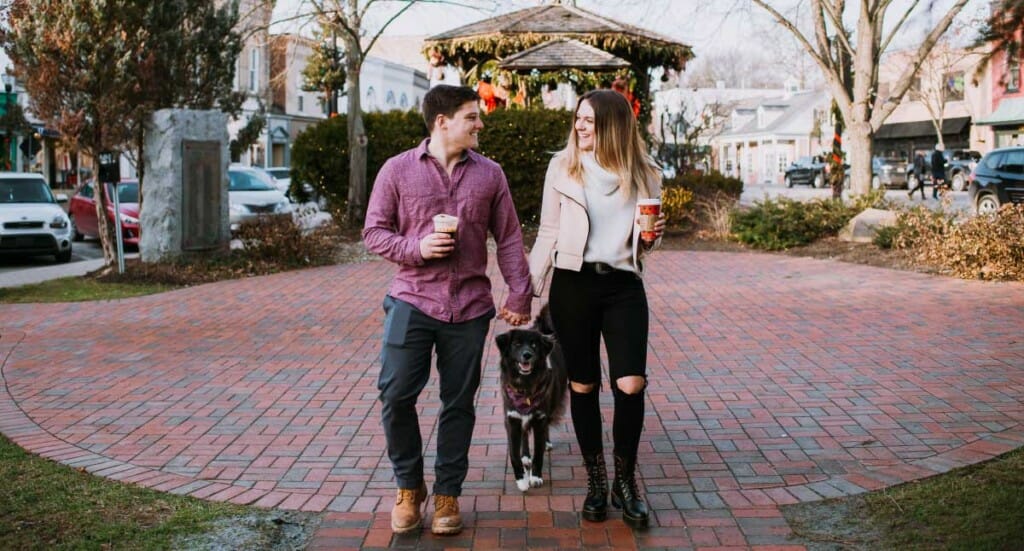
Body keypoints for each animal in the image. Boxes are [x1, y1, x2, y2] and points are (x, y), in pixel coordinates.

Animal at [493, 307, 569, 491]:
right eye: (516, 344)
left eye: (534, 345)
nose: (527, 355)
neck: (525, 386)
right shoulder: (512, 418)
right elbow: (514, 453)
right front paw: (522, 479)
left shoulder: (540, 417)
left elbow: (539, 454)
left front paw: (535, 477)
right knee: (525, 434)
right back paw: (525, 456)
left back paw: (545, 444)